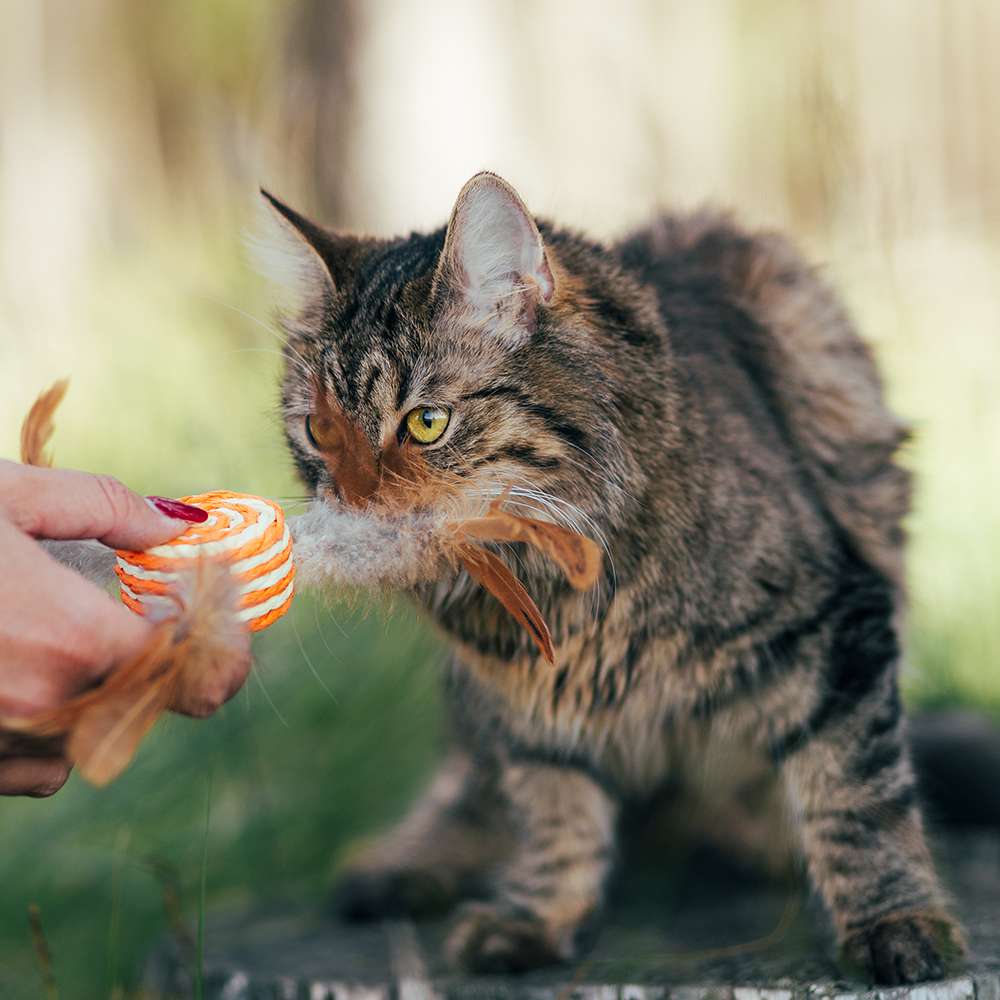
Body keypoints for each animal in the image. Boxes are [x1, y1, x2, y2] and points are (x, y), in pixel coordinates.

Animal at [262, 174, 964, 984]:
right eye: (317, 432)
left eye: (426, 423)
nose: (349, 502)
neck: (560, 588)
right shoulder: (523, 699)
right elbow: (552, 805)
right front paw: (540, 917)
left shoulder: (836, 628)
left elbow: (857, 799)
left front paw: (894, 922)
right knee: (469, 787)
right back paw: (405, 864)